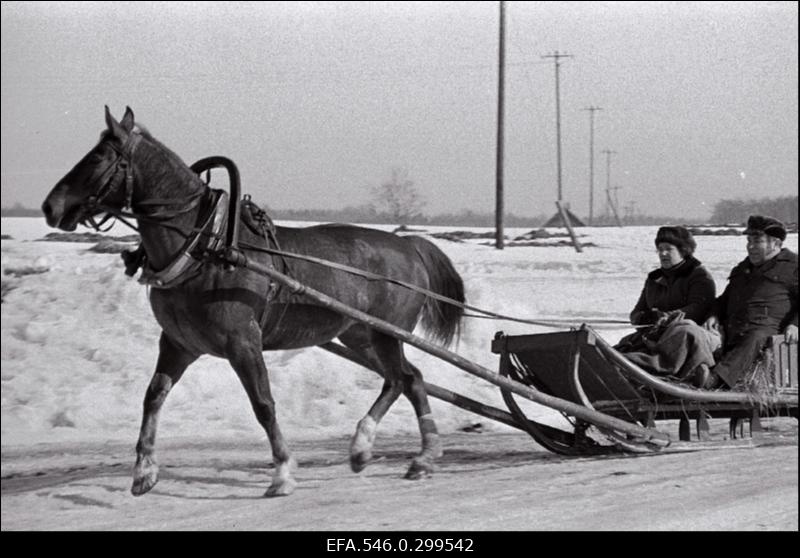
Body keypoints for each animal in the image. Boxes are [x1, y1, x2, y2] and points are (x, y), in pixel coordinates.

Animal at [43, 106, 466, 498]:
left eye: (98, 157)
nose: (50, 206)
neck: (207, 247)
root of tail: (407, 244)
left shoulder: (243, 342)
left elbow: (263, 404)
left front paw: (282, 473)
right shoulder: (178, 344)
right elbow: (153, 396)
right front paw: (144, 471)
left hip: (386, 334)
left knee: (403, 379)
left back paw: (399, 452)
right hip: (359, 335)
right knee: (406, 379)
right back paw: (389, 453)